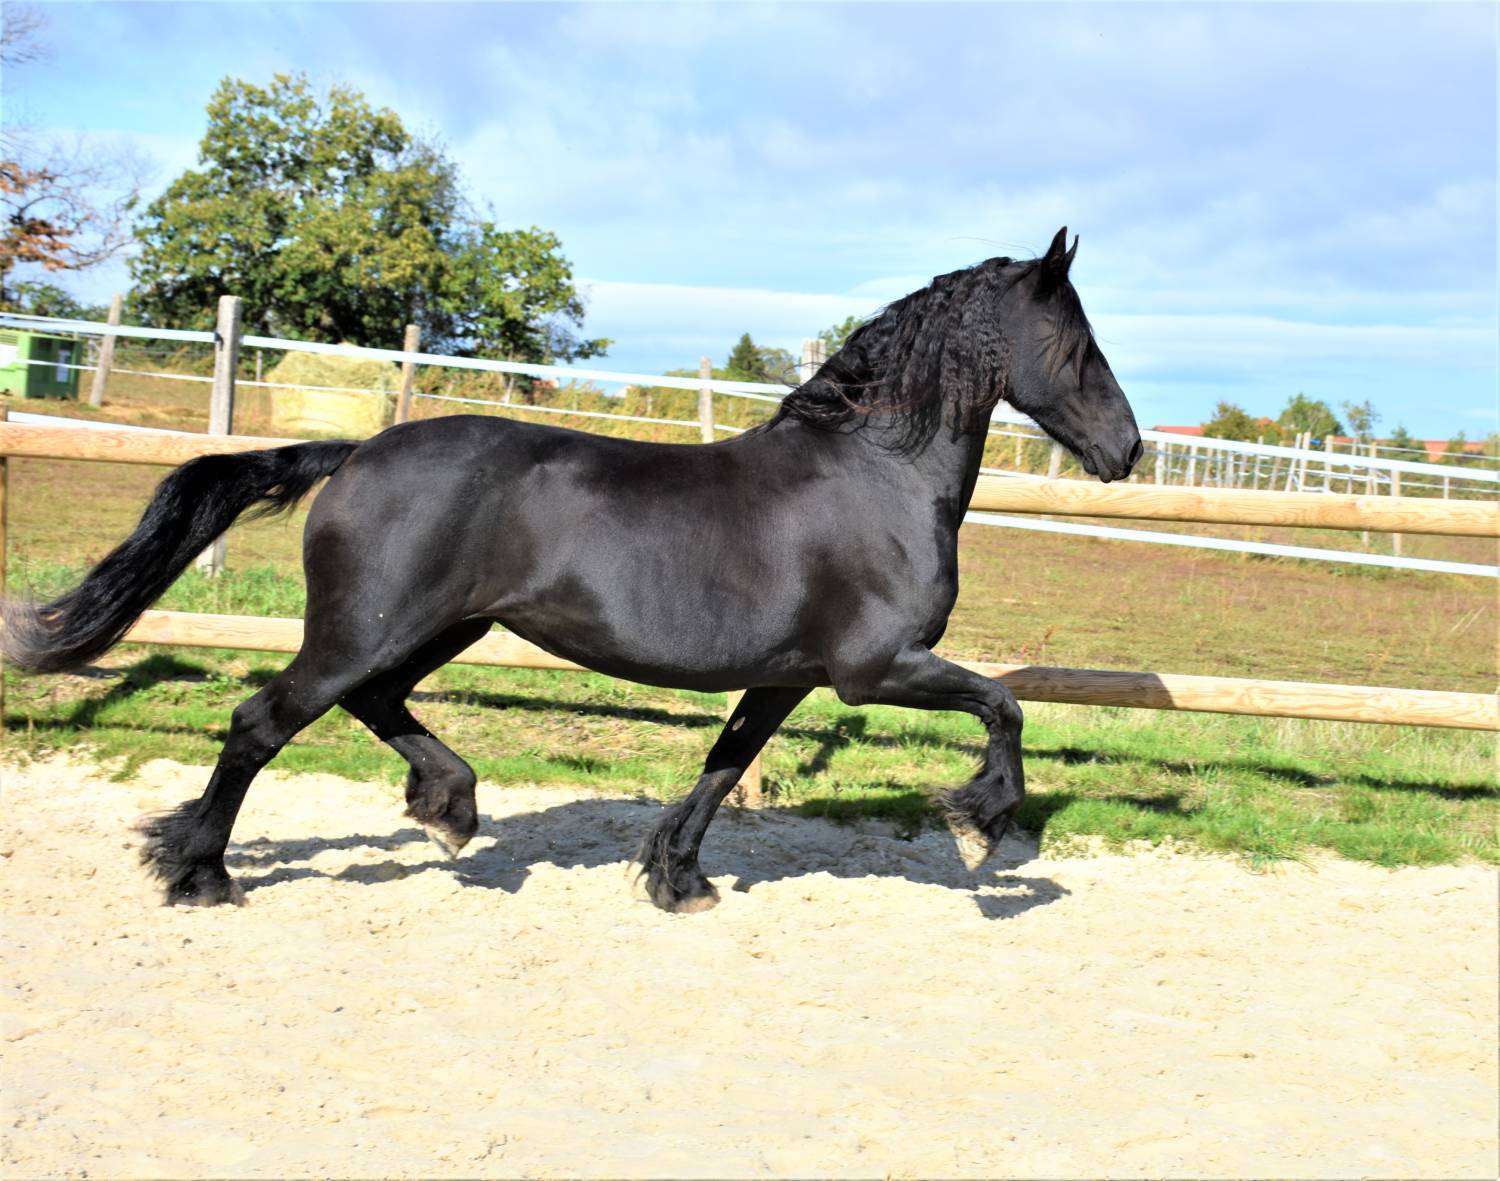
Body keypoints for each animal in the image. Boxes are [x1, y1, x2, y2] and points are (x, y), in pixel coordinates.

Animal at [2, 227, 1141, 912]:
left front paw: (678, 880)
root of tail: (358, 450)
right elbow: (1005, 705)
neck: (874, 473)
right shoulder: (876, 667)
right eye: (1078, 342)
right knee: (261, 722)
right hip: (367, 627)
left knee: (376, 701)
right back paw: (199, 871)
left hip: (437, 625)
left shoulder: (787, 676)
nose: (1126, 449)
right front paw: (982, 825)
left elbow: (723, 764)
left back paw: (452, 806)